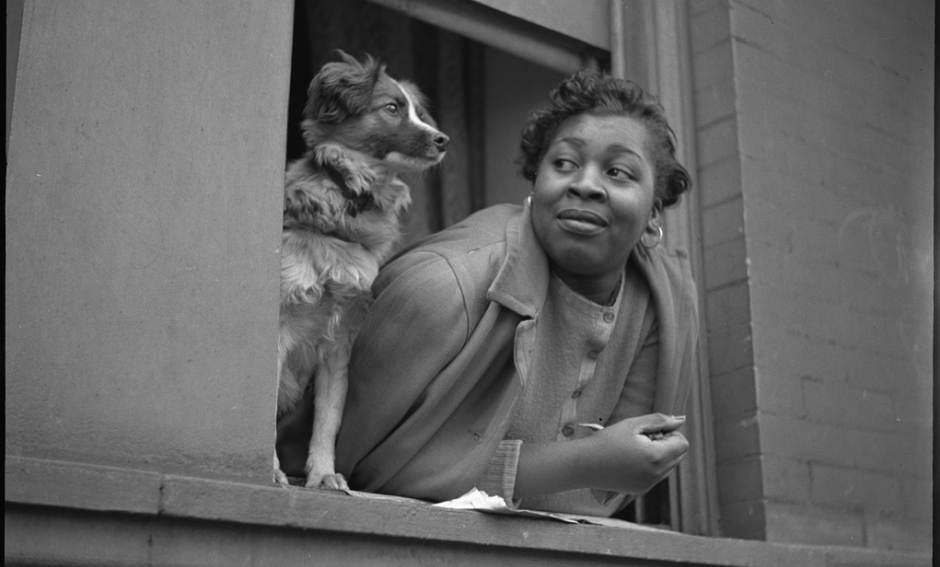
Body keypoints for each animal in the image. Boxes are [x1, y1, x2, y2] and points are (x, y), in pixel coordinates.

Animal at [276, 51, 448, 490]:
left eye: (418, 111)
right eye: (392, 108)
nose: (444, 140)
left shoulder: (339, 343)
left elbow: (328, 419)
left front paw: (322, 474)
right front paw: (269, 470)